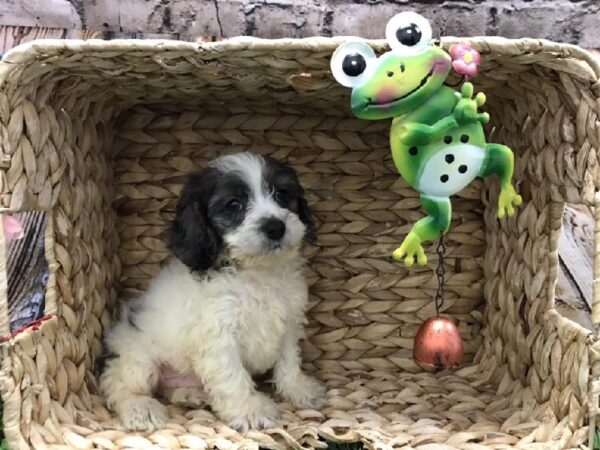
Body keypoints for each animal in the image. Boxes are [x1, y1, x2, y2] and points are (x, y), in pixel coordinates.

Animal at [99, 152, 324, 432]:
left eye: (281, 194)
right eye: (234, 204)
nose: (275, 227)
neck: (255, 271)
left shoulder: (288, 323)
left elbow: (288, 362)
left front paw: (299, 389)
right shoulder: (219, 335)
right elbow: (232, 376)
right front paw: (250, 411)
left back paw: (190, 394)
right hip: (138, 358)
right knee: (119, 385)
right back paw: (141, 408)